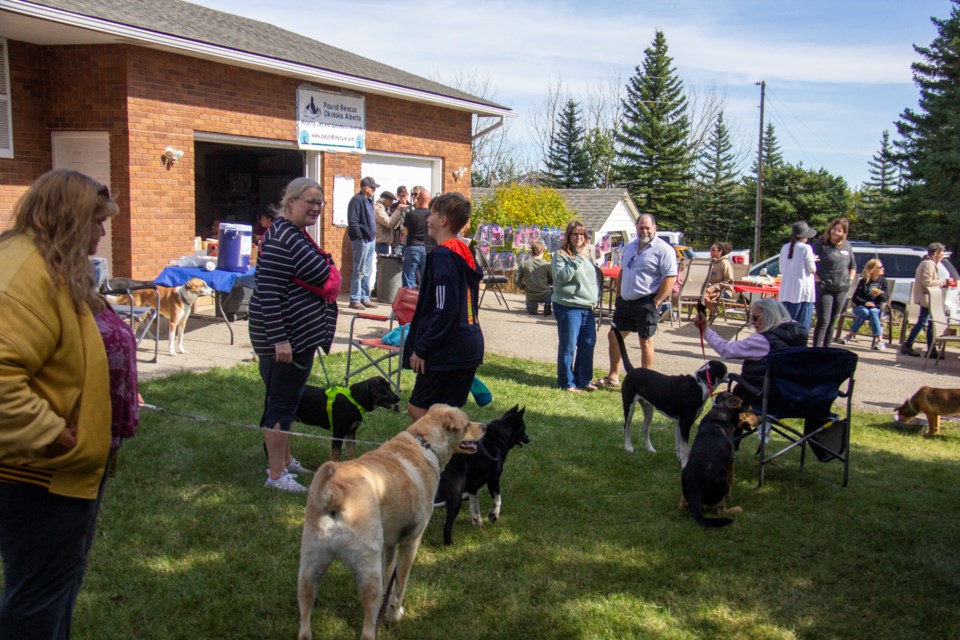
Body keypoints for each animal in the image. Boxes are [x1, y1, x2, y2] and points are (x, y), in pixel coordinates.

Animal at [296, 404, 484, 640]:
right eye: (467, 423)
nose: (485, 426)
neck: (425, 443)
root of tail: (334, 493)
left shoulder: (389, 544)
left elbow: (389, 578)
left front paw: (386, 612)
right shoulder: (410, 542)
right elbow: (400, 583)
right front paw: (394, 614)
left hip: (310, 566)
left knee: (305, 615)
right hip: (368, 568)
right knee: (368, 623)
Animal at [436, 404, 532, 544]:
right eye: (523, 428)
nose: (529, 439)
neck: (498, 436)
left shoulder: (473, 486)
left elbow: (475, 505)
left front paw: (478, 523)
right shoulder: (494, 480)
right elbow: (498, 499)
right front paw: (493, 516)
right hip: (455, 495)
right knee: (446, 525)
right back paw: (449, 543)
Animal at [616, 328, 728, 468]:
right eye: (725, 370)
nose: (731, 375)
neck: (700, 383)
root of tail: (631, 370)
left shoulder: (679, 423)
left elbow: (679, 446)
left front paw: (679, 459)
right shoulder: (685, 422)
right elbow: (685, 448)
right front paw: (685, 465)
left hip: (648, 409)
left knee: (644, 428)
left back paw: (650, 449)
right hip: (629, 406)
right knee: (626, 426)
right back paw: (628, 447)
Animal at [680, 392, 748, 528]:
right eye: (743, 405)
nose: (750, 407)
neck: (721, 410)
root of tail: (695, 490)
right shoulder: (730, 462)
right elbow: (732, 478)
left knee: (682, 503)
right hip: (723, 482)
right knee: (719, 510)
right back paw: (736, 509)